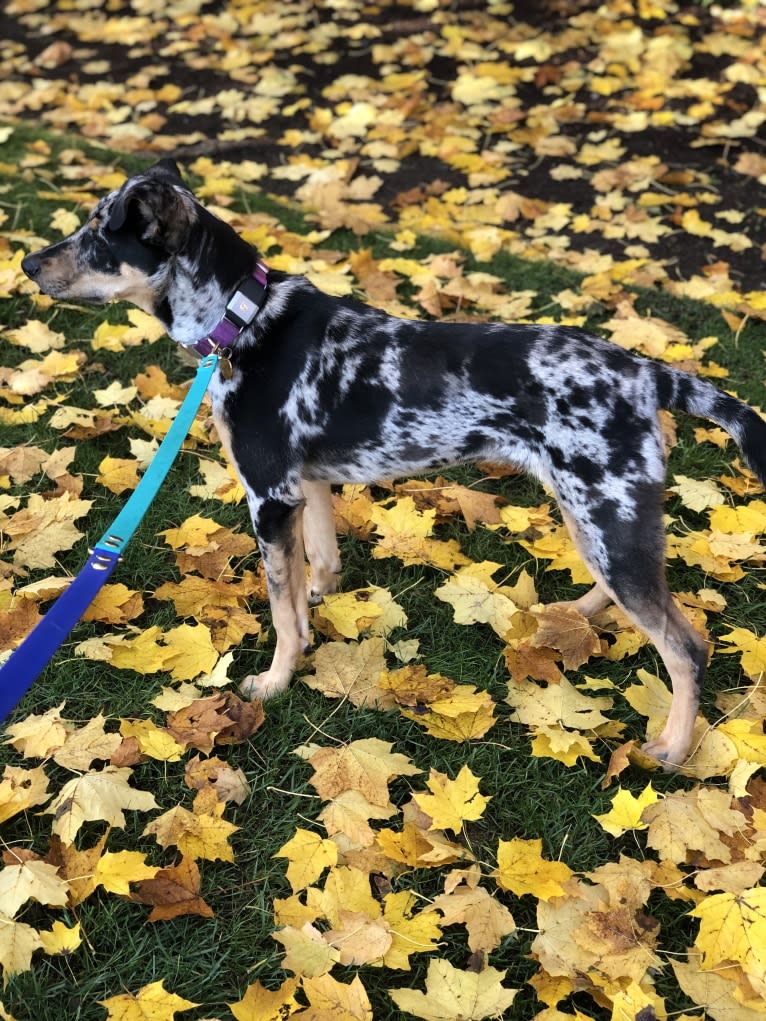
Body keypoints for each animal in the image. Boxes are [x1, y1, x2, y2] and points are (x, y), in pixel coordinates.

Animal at [16, 157, 766, 767]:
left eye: (98, 233)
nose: (26, 266)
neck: (245, 319)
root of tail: (647, 373)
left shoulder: (269, 496)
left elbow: (281, 609)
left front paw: (275, 681)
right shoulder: (305, 485)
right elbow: (316, 566)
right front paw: (318, 601)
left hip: (608, 513)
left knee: (684, 645)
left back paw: (674, 746)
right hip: (595, 512)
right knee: (623, 594)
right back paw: (578, 613)